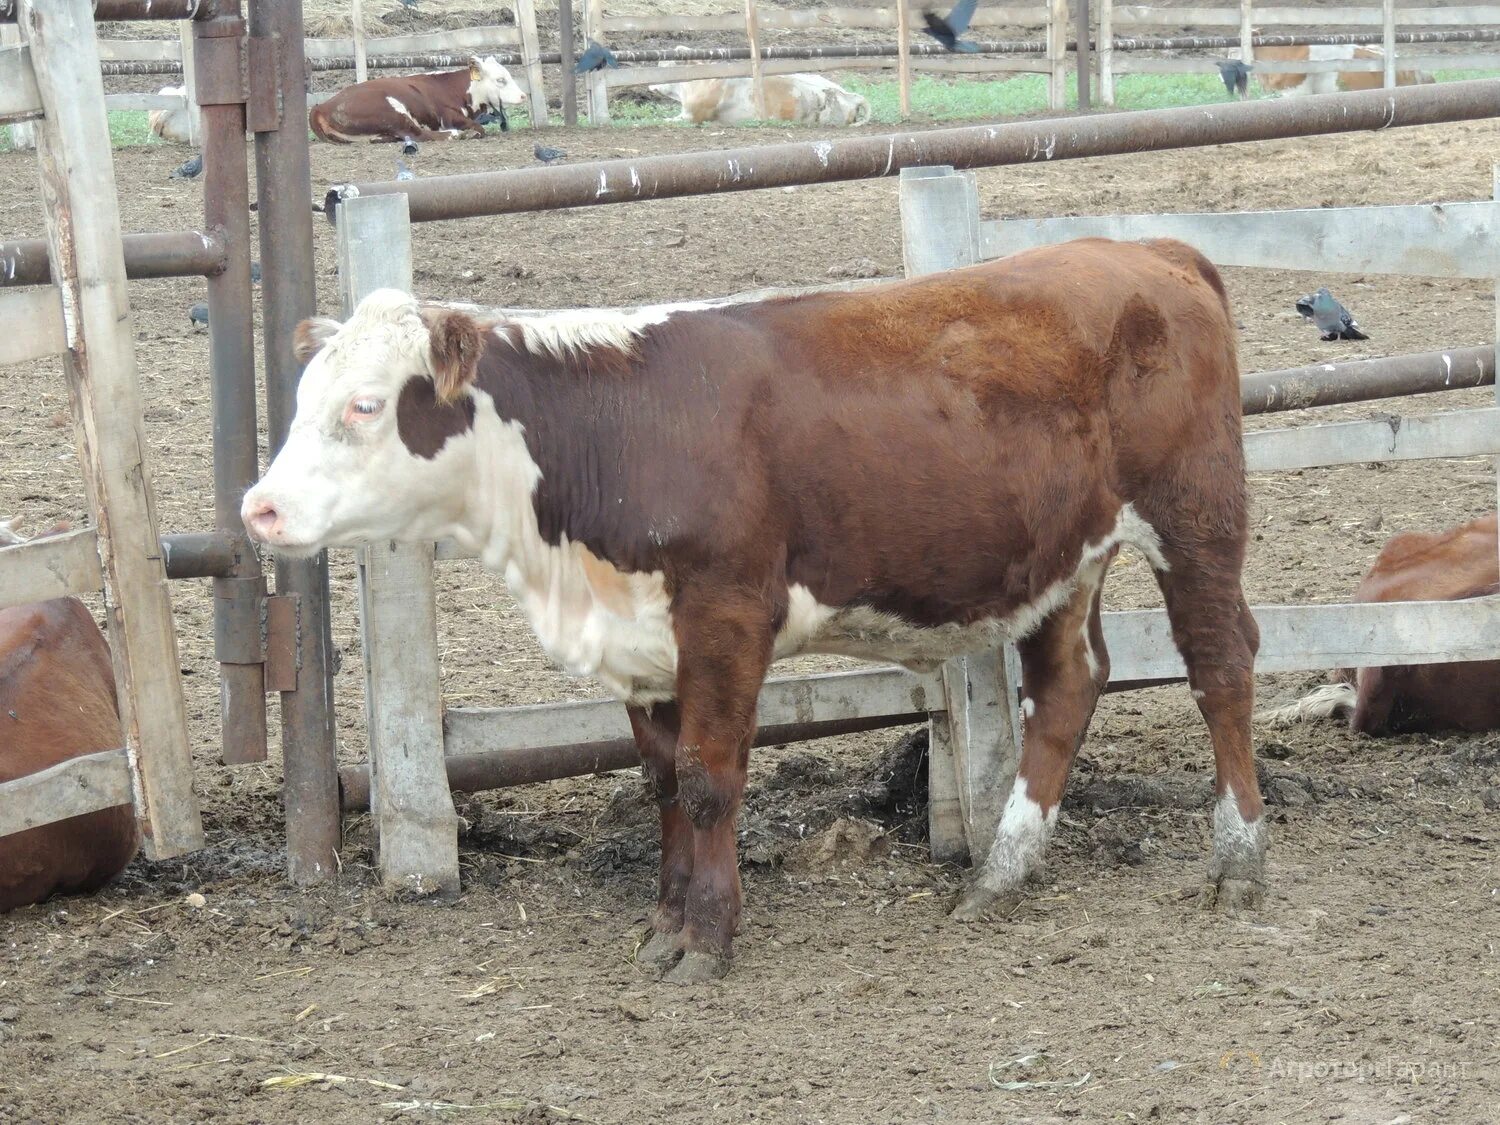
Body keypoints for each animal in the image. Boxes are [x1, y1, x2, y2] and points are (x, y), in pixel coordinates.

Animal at [243, 240, 1266, 984]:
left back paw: (1238, 859)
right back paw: (1000, 874)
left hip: (1195, 516)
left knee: (1221, 665)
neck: (617, 430)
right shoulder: (641, 637)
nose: (260, 508)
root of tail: (1148, 250)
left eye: (365, 405)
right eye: (302, 398)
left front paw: (706, 934)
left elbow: (708, 777)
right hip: (1067, 554)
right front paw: (662, 919)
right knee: (1066, 687)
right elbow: (661, 781)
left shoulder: (727, 610)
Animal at [307, 56, 525, 144]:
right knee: (417, 134)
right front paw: (469, 132)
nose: (523, 95)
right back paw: (455, 134)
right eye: (500, 79)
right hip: (393, 111)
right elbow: (479, 128)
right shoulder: (449, 117)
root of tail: (322, 106)